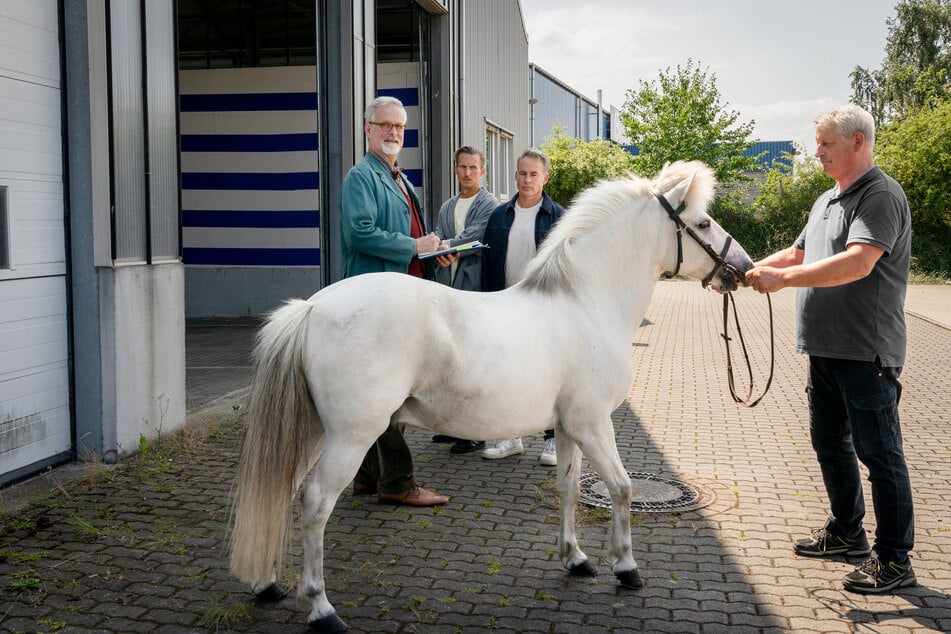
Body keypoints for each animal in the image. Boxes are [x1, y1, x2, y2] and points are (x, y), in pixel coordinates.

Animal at [229, 160, 752, 628]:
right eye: (702, 222)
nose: (744, 268)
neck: (584, 302)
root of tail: (312, 308)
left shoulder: (568, 427)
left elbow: (567, 488)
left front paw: (576, 558)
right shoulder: (594, 423)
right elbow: (622, 488)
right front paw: (626, 567)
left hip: (314, 431)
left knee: (282, 492)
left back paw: (267, 584)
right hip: (350, 437)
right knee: (315, 503)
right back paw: (321, 608)